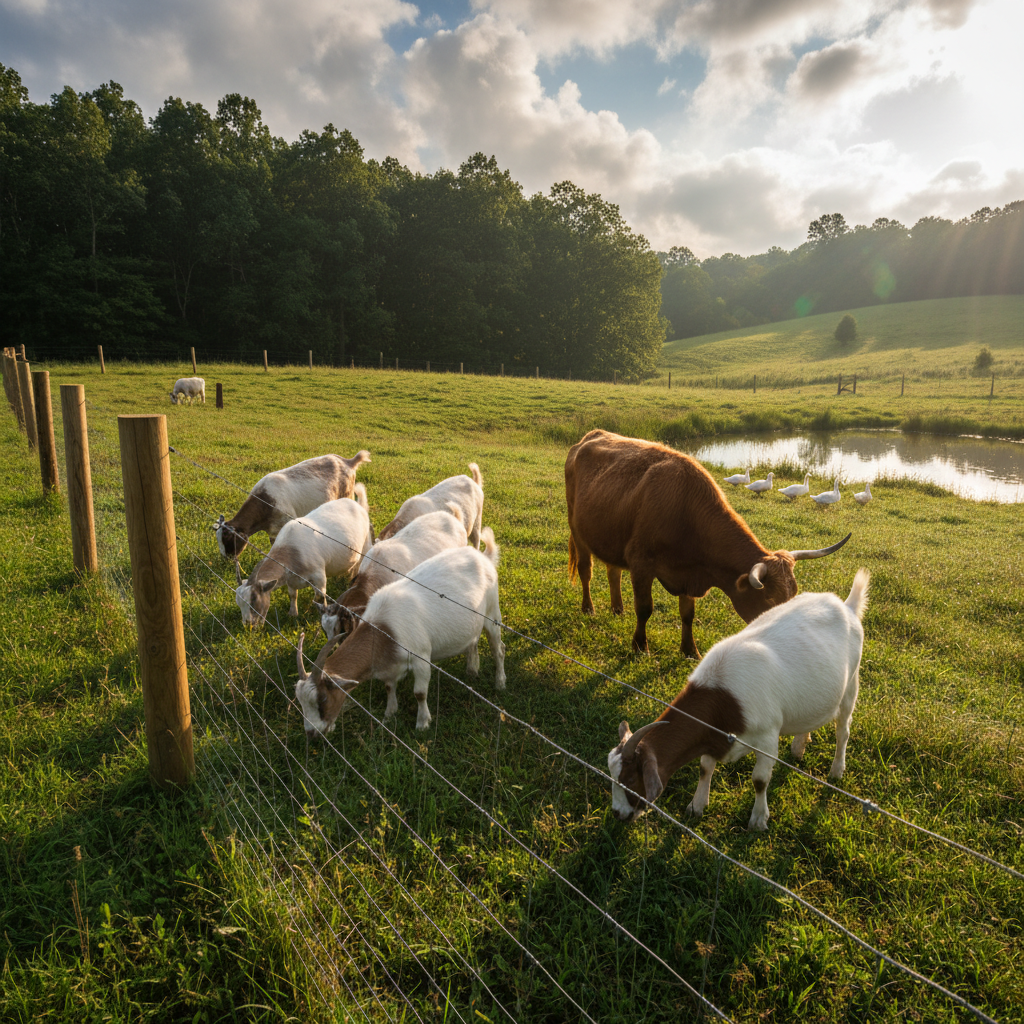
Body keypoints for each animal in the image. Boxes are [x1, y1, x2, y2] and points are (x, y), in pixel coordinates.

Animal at [216, 450, 370, 558]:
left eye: (228, 540)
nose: (226, 559)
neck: (265, 500)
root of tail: (348, 462)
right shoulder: (273, 530)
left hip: (347, 494)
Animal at [234, 485, 374, 626]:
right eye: (239, 604)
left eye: (253, 600)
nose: (248, 624)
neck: (291, 551)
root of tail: (358, 505)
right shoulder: (291, 579)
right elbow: (292, 594)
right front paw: (293, 614)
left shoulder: (319, 577)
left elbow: (319, 597)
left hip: (366, 544)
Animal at [295, 529, 505, 735]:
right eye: (300, 702)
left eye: (322, 699)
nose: (311, 733)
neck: (384, 629)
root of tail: (483, 557)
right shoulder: (389, 665)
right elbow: (389, 687)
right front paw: (389, 714)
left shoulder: (421, 658)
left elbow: (419, 693)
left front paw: (422, 723)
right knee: (473, 640)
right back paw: (472, 670)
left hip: (492, 613)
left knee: (498, 648)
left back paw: (500, 683)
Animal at [564, 429, 850, 657]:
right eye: (769, 599)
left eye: (792, 596)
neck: (685, 511)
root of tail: (590, 436)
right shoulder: (641, 564)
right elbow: (645, 609)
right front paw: (640, 647)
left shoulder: (689, 574)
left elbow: (687, 615)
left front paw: (690, 650)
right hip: (577, 532)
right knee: (586, 571)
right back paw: (589, 608)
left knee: (613, 571)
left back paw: (617, 609)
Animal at [608, 569, 869, 830]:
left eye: (630, 778)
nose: (618, 814)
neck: (724, 699)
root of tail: (846, 606)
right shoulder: (713, 734)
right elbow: (705, 768)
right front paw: (697, 806)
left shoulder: (767, 738)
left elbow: (760, 780)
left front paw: (758, 819)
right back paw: (798, 748)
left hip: (852, 683)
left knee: (843, 730)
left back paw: (836, 770)